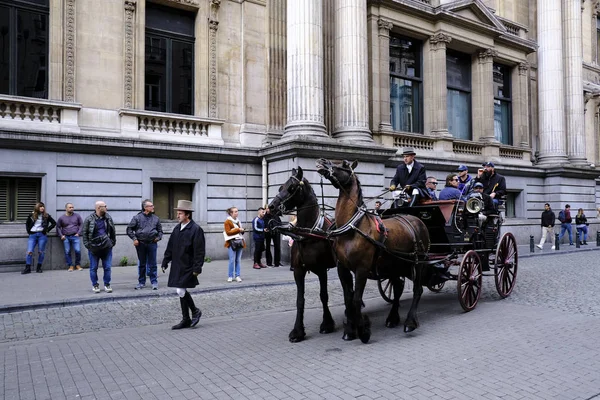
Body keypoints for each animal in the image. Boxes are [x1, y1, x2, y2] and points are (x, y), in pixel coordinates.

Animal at [268, 167, 338, 342]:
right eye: (280, 187)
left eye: (291, 188)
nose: (271, 207)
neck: (308, 233)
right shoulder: (298, 271)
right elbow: (300, 300)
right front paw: (298, 331)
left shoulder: (321, 270)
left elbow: (323, 295)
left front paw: (327, 323)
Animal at [316, 158, 428, 342]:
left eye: (344, 164)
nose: (322, 161)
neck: (353, 228)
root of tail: (416, 219)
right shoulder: (342, 268)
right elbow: (348, 299)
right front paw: (350, 330)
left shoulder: (362, 269)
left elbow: (356, 299)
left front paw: (363, 331)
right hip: (395, 264)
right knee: (398, 287)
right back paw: (392, 318)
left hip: (418, 262)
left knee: (417, 290)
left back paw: (410, 322)